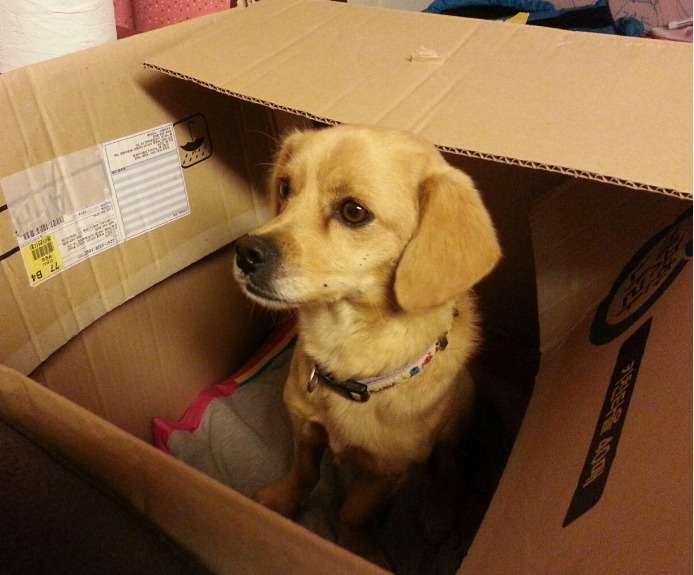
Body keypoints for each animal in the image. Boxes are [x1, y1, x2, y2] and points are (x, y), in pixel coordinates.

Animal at [233, 124, 501, 564]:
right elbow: (304, 474)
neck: (346, 352)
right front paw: (281, 502)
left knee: (451, 466)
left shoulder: (388, 470)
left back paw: (439, 511)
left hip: (457, 415)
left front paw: (358, 548)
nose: (245, 252)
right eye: (285, 188)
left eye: (353, 212)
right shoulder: (304, 429)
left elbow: (355, 511)